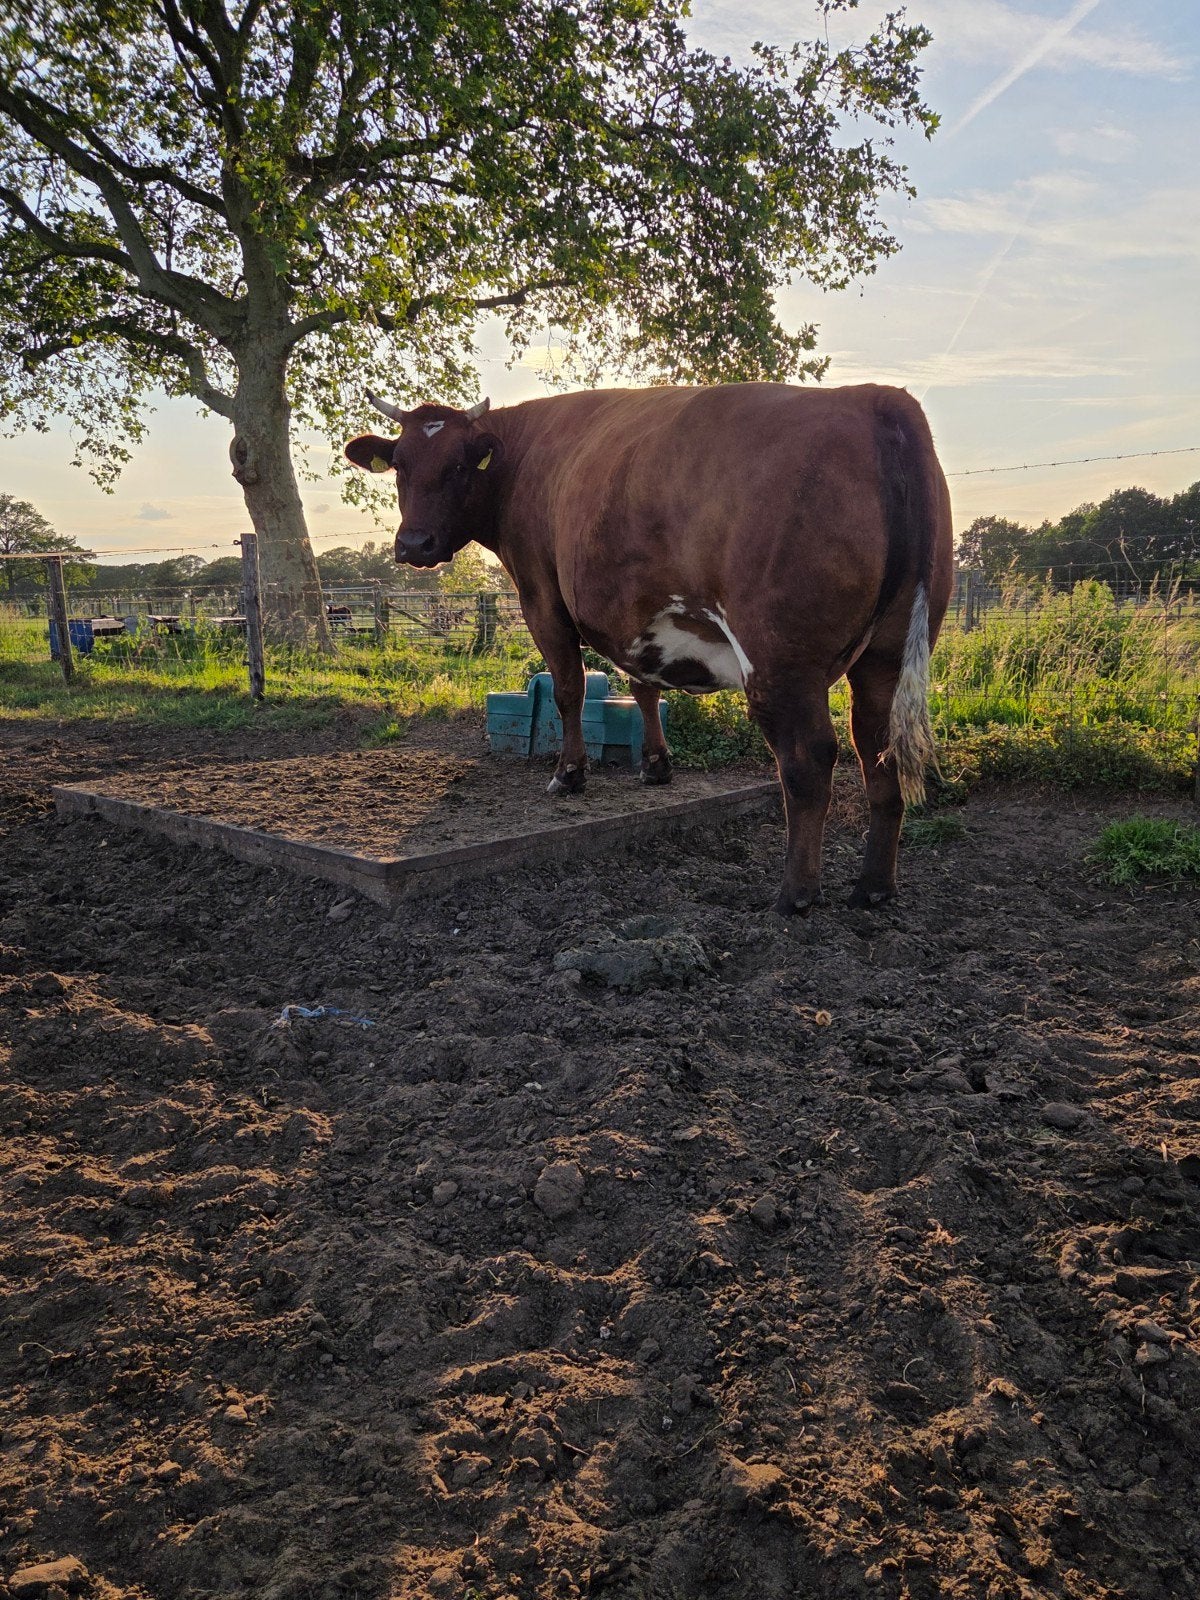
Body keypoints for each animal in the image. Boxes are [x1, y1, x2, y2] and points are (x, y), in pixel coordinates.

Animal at [345, 384, 954, 913]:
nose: (414, 544)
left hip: (781, 662)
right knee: (878, 750)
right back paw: (874, 887)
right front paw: (657, 765)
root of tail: (872, 395)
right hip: (888, 654)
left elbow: (569, 689)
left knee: (809, 761)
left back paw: (795, 895)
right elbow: (642, 687)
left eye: (458, 466)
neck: (522, 461)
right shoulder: (633, 615)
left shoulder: (542, 596)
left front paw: (569, 774)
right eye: (400, 464)